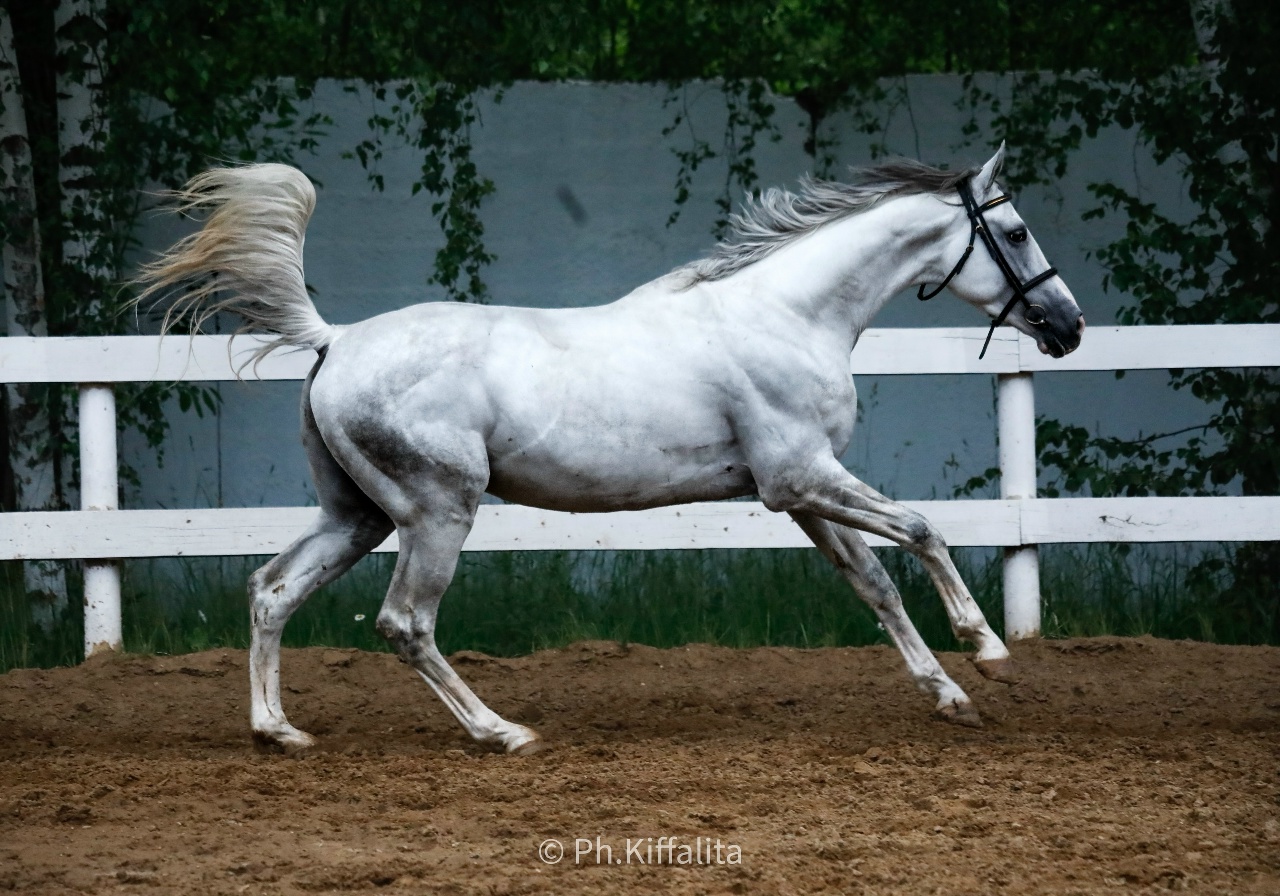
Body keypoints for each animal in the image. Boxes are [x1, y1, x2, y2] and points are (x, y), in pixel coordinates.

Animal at [133, 143, 1083, 755]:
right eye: (1019, 232)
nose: (1067, 327)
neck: (787, 314)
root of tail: (335, 342)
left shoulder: (799, 493)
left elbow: (875, 585)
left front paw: (952, 697)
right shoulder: (801, 477)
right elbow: (924, 528)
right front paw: (987, 648)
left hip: (357, 516)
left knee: (271, 589)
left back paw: (279, 731)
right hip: (438, 513)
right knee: (405, 623)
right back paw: (502, 733)